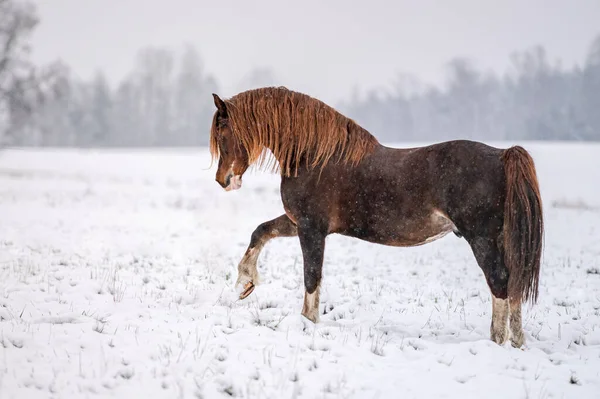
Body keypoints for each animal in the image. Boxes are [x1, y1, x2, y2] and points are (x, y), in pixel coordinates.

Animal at [211, 86, 544, 346]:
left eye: (224, 132)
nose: (223, 180)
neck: (313, 156)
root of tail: (502, 155)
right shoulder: (297, 223)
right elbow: (261, 231)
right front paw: (245, 283)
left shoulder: (311, 228)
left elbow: (311, 277)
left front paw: (307, 322)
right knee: (513, 285)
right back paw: (517, 341)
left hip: (481, 239)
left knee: (499, 282)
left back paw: (497, 341)